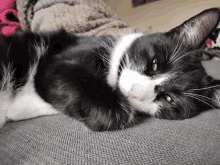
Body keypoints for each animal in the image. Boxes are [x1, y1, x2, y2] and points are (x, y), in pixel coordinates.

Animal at [0, 8, 220, 131]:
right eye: (155, 63)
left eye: (169, 99)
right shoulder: (62, 57)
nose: (134, 92)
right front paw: (110, 109)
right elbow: (57, 71)